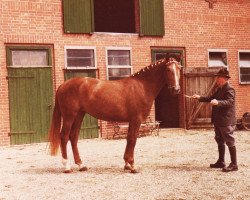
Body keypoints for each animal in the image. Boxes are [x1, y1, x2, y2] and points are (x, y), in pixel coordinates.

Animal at [48, 57, 182, 172]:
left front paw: (127, 164)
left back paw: (81, 165)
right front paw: (133, 165)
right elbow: (133, 139)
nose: (176, 89)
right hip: (69, 116)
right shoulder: (136, 119)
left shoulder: (131, 121)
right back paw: (67, 166)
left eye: (179, 69)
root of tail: (63, 85)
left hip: (79, 115)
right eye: (168, 69)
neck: (142, 86)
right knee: (64, 137)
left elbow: (129, 139)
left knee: (73, 137)